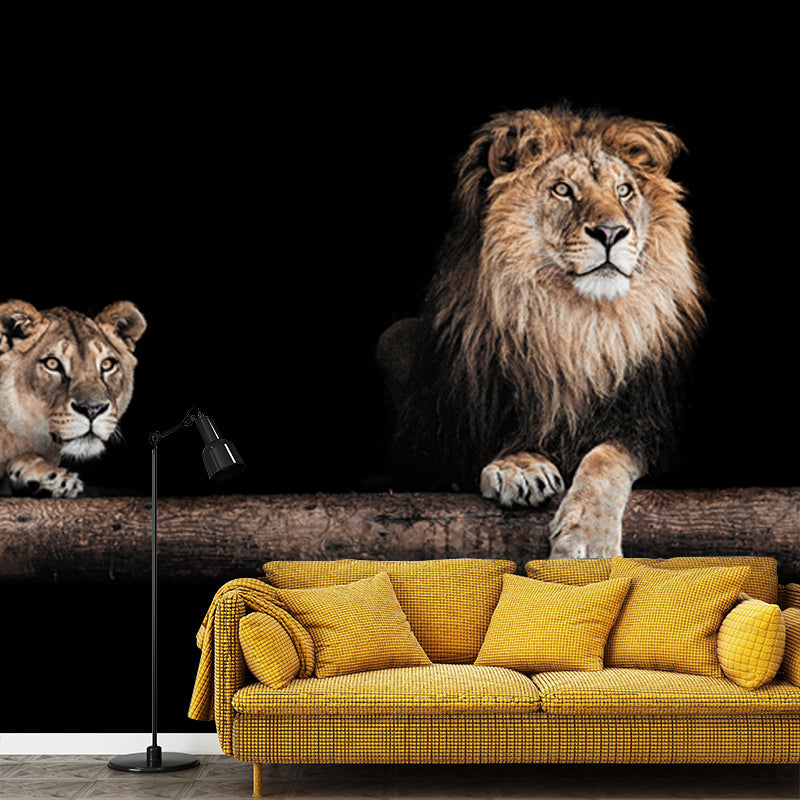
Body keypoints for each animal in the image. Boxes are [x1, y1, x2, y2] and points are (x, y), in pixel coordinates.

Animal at [377, 105, 707, 558]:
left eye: (624, 190)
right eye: (563, 190)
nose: (611, 232)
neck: (570, 323)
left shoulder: (651, 426)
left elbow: (607, 456)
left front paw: (588, 538)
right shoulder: (431, 443)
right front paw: (520, 465)